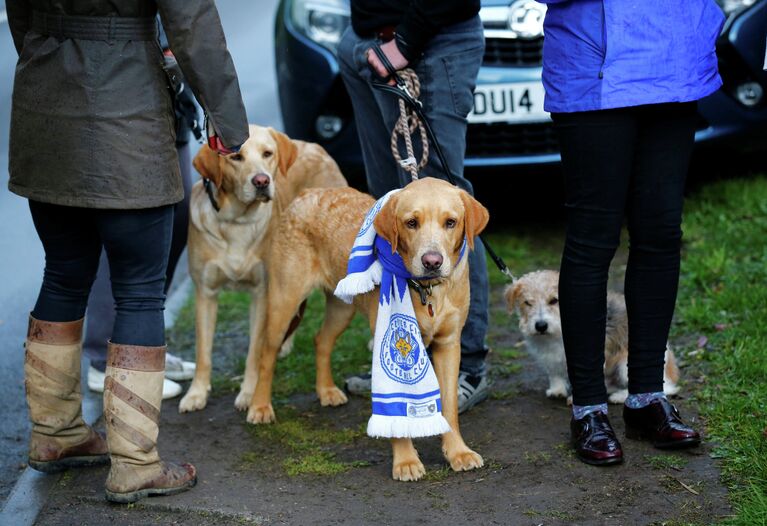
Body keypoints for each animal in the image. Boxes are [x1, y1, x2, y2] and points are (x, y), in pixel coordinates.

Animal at [178, 126, 346, 414]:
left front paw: (248, 394)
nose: (261, 181)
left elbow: (254, 352)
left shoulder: (262, 293)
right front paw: (196, 393)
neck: (236, 221)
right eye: (236, 157)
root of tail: (313, 145)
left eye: (267, 154)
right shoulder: (205, 293)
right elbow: (203, 352)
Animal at [246, 180, 488, 482]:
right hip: (284, 302)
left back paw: (326, 390)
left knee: (321, 340)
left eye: (451, 222)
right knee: (266, 354)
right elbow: (395, 413)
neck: (428, 291)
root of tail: (309, 194)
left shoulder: (449, 345)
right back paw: (259, 406)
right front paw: (406, 461)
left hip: (341, 307)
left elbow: (450, 407)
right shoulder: (388, 335)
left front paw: (457, 452)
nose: (432, 261)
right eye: (411, 222)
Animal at [510, 270, 680, 406]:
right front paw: (557, 390)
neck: (556, 333)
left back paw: (619, 396)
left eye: (553, 300)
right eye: (527, 303)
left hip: (625, 364)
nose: (540, 326)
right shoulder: (548, 357)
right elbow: (554, 374)